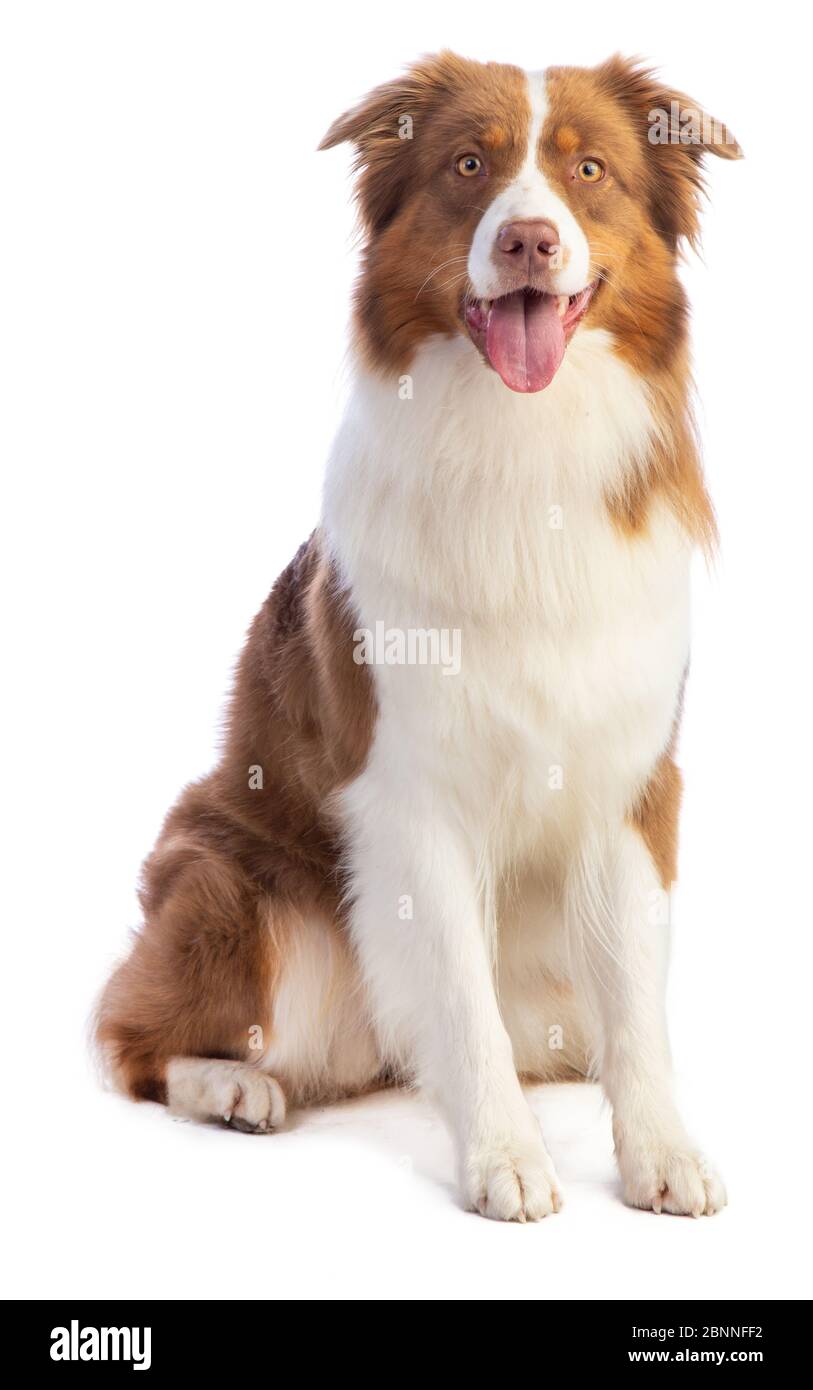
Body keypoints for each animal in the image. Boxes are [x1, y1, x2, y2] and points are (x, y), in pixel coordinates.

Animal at [96, 54, 739, 1223]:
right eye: (469, 166)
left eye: (588, 170)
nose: (527, 239)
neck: (525, 447)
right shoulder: (410, 797)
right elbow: (460, 997)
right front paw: (506, 1158)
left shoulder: (632, 783)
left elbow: (635, 999)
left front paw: (661, 1150)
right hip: (238, 890)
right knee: (134, 1035)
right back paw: (235, 1088)